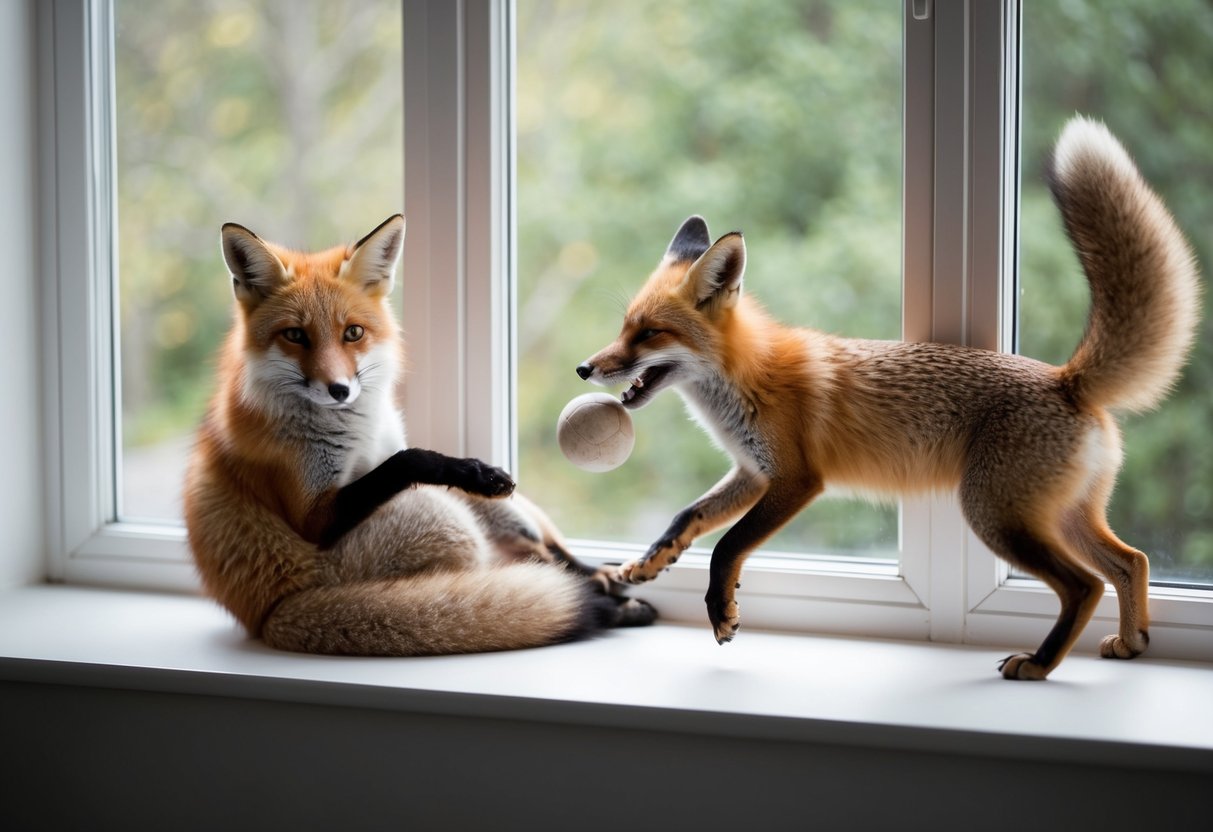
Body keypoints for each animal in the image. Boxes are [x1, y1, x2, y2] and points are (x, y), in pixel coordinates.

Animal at [184, 214, 654, 656]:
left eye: (353, 333)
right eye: (295, 335)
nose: (340, 390)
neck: (358, 430)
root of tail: (270, 617)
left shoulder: (382, 460)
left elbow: (407, 459)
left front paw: (477, 471)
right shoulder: (312, 518)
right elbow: (412, 458)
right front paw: (467, 468)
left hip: (488, 511)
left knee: (552, 558)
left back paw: (606, 584)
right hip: (442, 515)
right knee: (531, 576)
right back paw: (603, 603)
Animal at [576, 117, 1200, 680]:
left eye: (649, 334)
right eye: (624, 328)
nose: (584, 368)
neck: (744, 380)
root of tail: (1065, 379)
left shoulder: (796, 480)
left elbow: (728, 546)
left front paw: (721, 612)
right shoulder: (753, 472)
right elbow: (689, 516)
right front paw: (649, 563)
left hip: (995, 516)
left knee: (1084, 585)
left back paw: (1041, 663)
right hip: (1062, 516)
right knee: (1130, 562)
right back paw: (1132, 642)